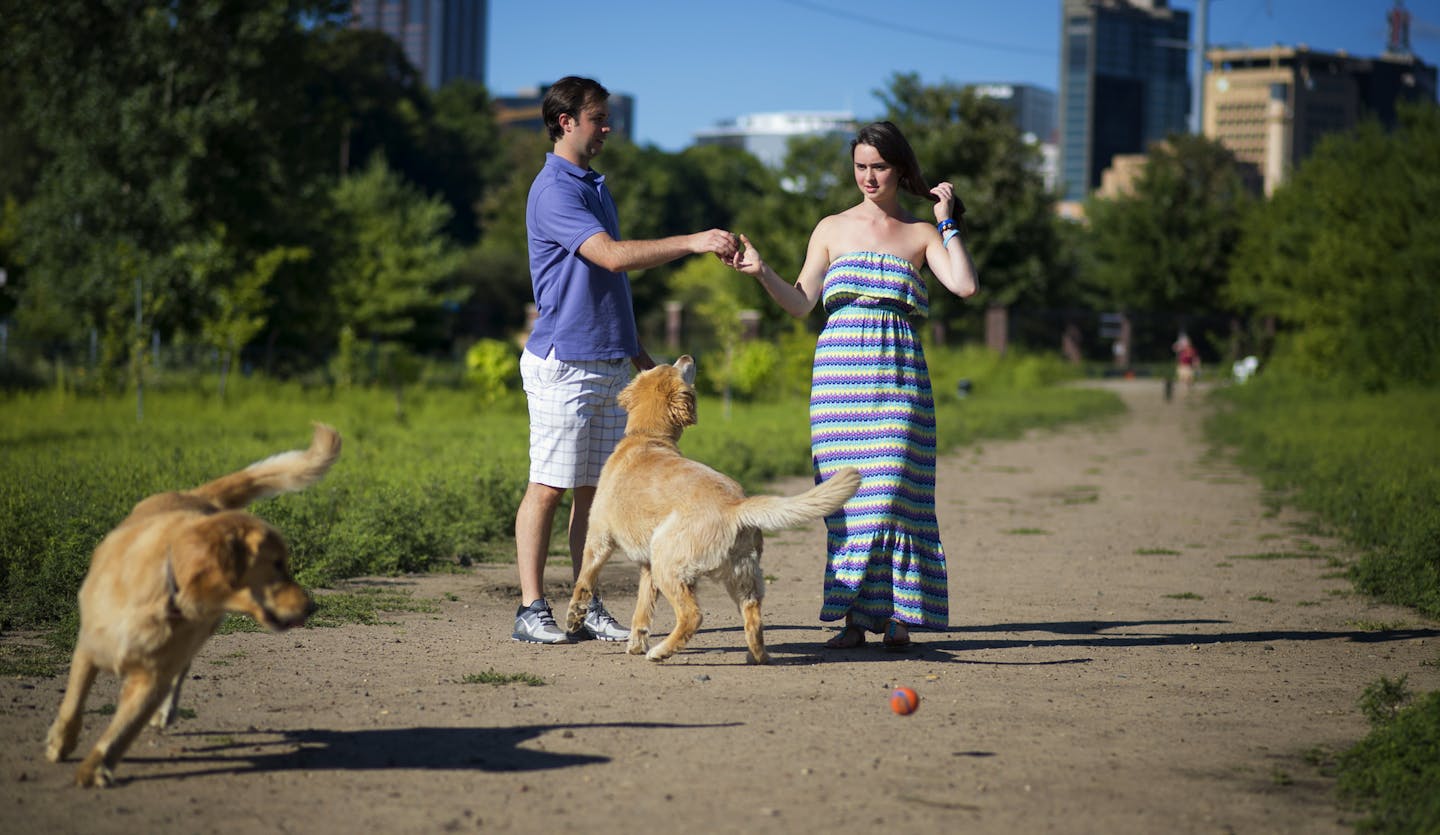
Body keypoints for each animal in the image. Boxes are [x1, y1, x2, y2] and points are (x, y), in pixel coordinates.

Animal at [558, 355, 852, 662]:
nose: (688, 357)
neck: (647, 437)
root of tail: (736, 506)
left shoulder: (599, 538)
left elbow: (584, 580)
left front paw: (575, 617)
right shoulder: (647, 567)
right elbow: (642, 609)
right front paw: (636, 644)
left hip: (668, 562)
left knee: (692, 616)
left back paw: (661, 652)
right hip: (741, 575)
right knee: (753, 617)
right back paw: (757, 656)